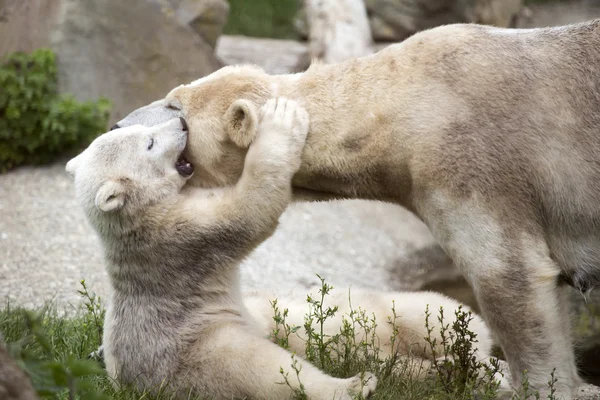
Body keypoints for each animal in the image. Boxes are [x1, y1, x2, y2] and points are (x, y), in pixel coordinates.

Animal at [112, 21, 600, 396]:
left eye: (176, 106)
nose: (116, 123)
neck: (404, 104)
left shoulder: (470, 160)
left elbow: (510, 274)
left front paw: (546, 387)